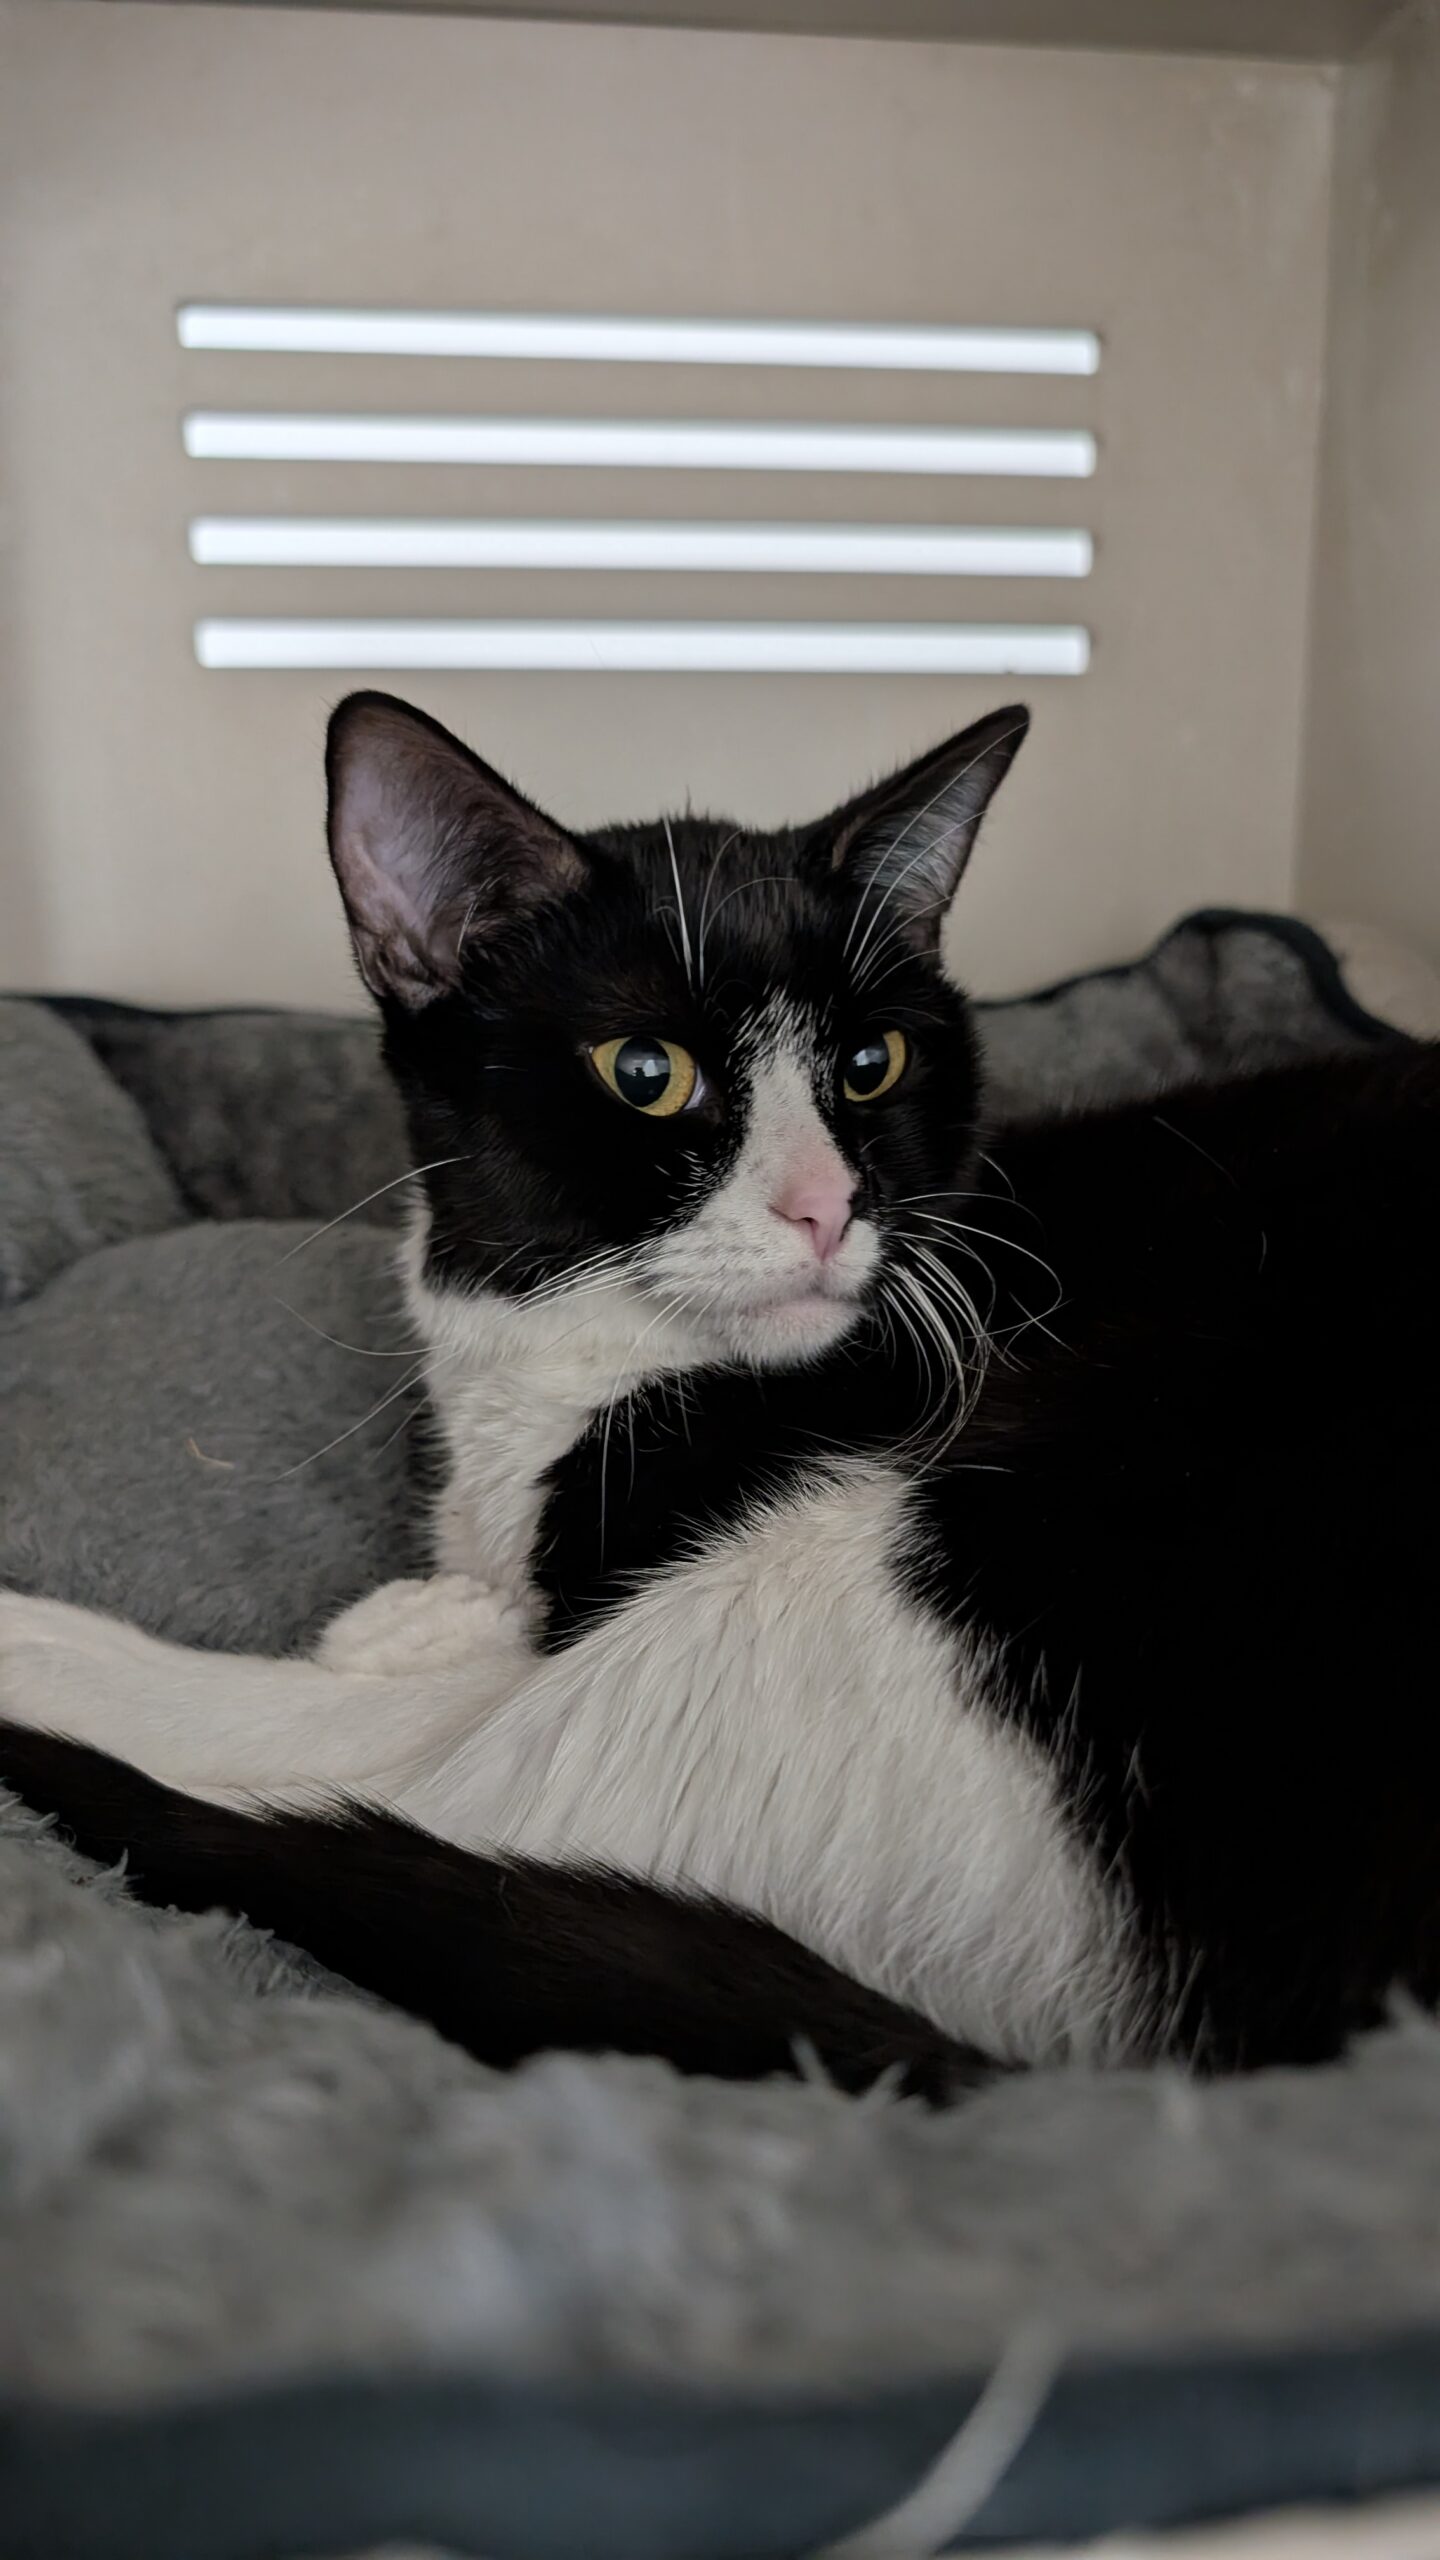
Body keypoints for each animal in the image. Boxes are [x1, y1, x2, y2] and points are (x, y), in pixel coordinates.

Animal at [3, 689, 1438, 2098]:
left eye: (870, 1061)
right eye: (647, 1073)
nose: (826, 1207)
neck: (571, 1349)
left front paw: (383, 1631)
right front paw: (435, 1606)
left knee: (445, 1778)